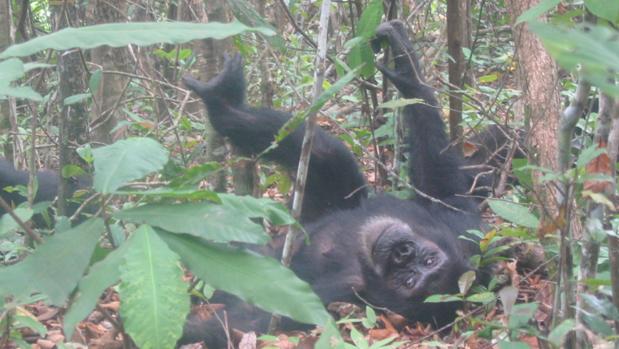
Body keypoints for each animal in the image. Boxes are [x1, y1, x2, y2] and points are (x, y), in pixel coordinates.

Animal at [179, 20, 484, 346]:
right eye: (426, 260)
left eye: (410, 279)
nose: (402, 253)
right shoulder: (462, 227)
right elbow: (442, 184)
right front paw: (407, 69)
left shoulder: (336, 300)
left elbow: (252, 317)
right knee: (326, 153)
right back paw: (224, 101)